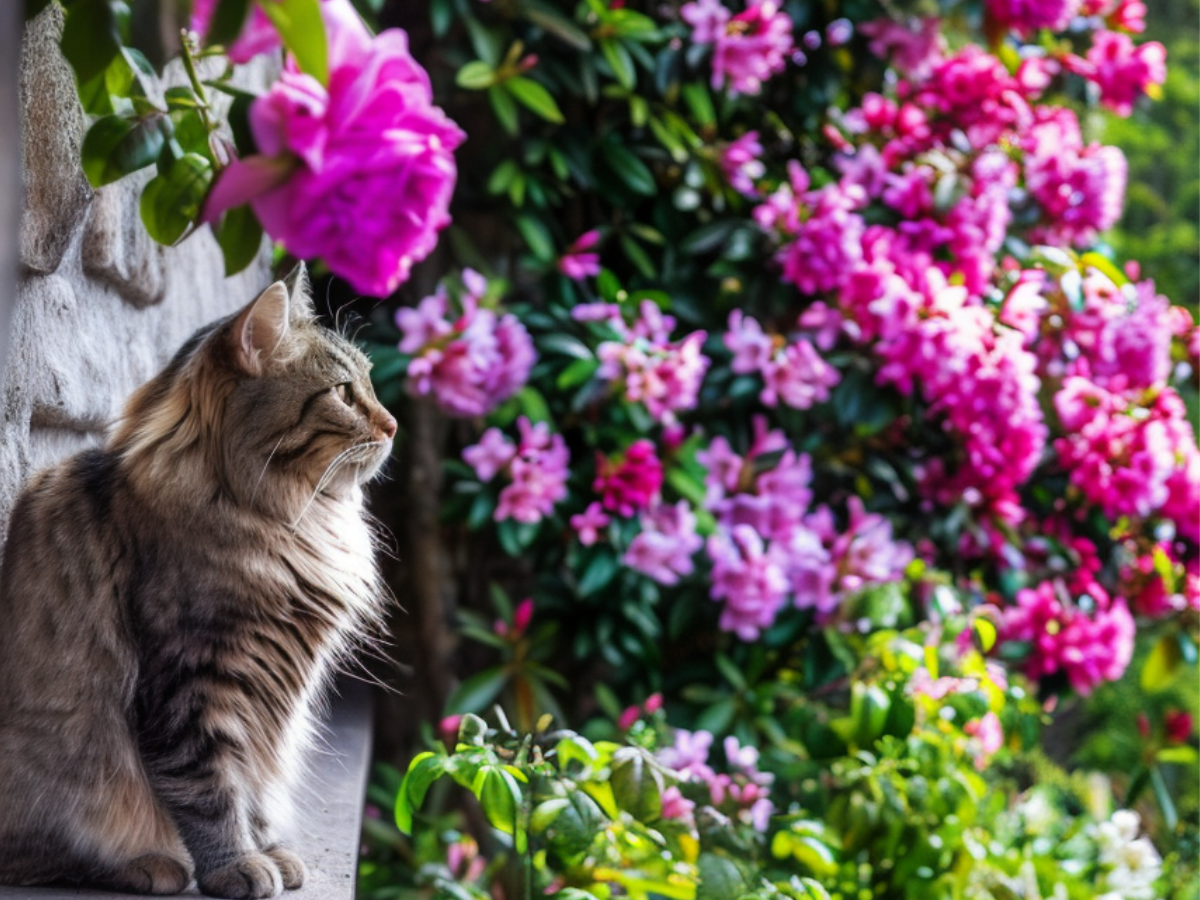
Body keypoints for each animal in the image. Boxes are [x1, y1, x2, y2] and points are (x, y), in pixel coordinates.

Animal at [0, 267, 398, 900]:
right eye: (342, 393)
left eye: (369, 382)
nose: (393, 424)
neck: (284, 519)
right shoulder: (192, 678)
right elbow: (210, 790)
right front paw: (236, 866)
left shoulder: (271, 698)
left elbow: (254, 786)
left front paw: (268, 851)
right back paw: (147, 866)